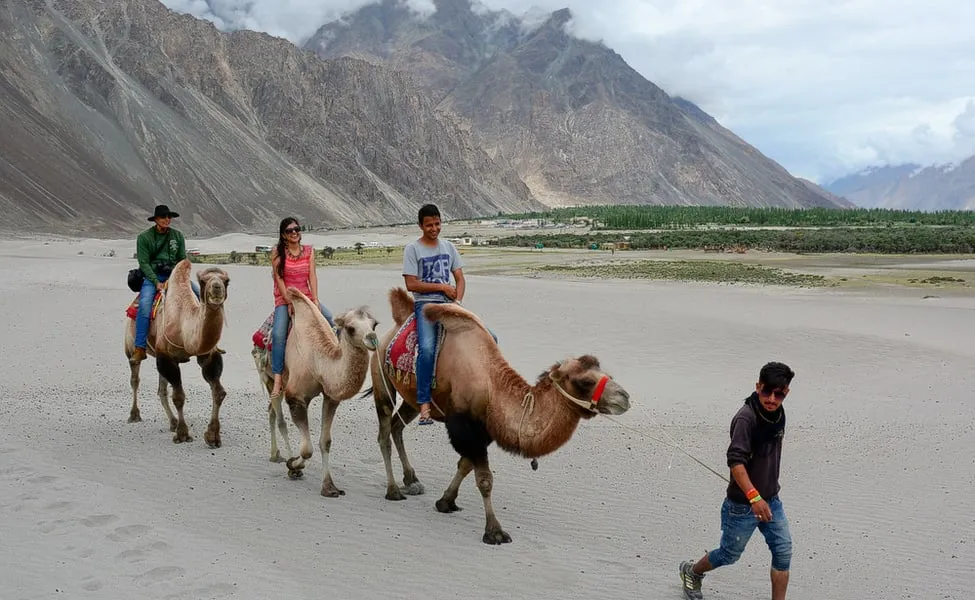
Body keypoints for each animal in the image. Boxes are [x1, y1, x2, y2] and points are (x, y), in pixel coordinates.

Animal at [123, 259, 230, 447]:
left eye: (227, 281)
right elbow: (178, 396)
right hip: (131, 345)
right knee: (135, 378)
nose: (217, 288)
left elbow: (218, 392)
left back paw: (172, 422)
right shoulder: (166, 356)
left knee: (161, 390)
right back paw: (134, 415)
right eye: (202, 280)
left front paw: (213, 436)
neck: (183, 324)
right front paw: (182, 435)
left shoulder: (206, 354)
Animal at [251, 287, 379, 497]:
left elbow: (325, 441)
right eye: (350, 328)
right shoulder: (296, 397)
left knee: (271, 411)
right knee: (279, 418)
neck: (320, 362)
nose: (372, 339)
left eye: (374, 324)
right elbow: (306, 449)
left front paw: (329, 487)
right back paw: (287, 460)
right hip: (268, 375)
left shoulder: (331, 397)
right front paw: (294, 466)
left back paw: (275, 455)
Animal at [365, 288, 631, 544]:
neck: (492, 387)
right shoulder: (465, 426)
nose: (624, 397)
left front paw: (446, 501)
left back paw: (411, 480)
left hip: (414, 399)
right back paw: (393, 490)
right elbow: (484, 479)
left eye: (606, 373)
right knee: (384, 433)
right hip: (381, 379)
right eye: (585, 382)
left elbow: (465, 465)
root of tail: (391, 331)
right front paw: (494, 531)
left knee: (398, 426)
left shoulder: (484, 430)